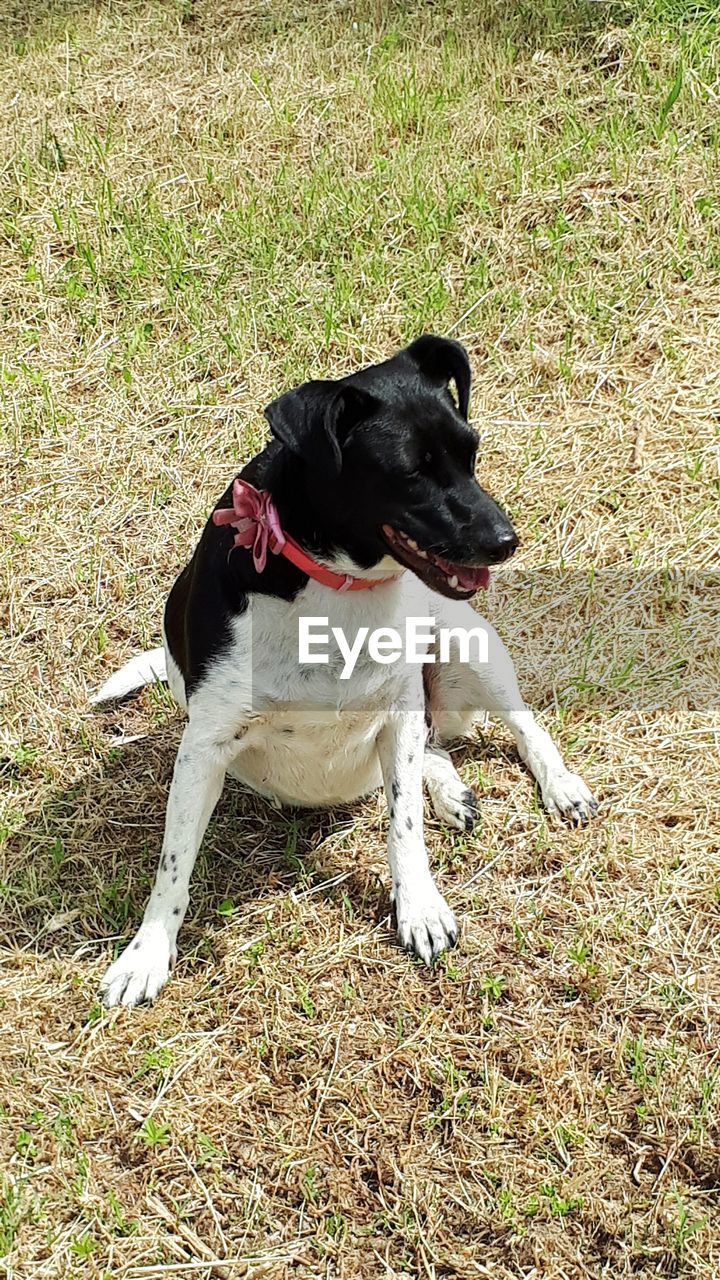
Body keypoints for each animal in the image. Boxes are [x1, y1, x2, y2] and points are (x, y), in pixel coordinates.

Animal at [94, 337, 594, 1008]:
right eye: (411, 471)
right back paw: (452, 789)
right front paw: (146, 954)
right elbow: (173, 863)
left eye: (472, 450)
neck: (337, 586)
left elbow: (404, 826)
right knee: (436, 747)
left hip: (468, 646)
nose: (505, 541)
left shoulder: (398, 711)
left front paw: (419, 909)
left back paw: (558, 786)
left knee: (520, 726)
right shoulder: (204, 748)